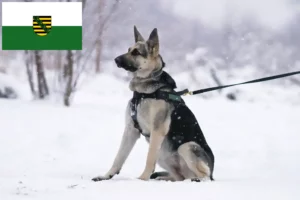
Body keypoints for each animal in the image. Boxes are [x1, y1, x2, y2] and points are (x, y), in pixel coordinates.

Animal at [92, 25, 214, 182]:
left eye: (136, 52)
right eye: (128, 49)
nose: (116, 59)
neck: (143, 93)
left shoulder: (157, 131)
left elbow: (149, 158)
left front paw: (142, 179)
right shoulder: (130, 130)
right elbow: (119, 156)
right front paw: (107, 175)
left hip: (186, 147)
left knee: (204, 176)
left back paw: (196, 179)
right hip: (164, 155)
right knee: (178, 177)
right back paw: (163, 178)